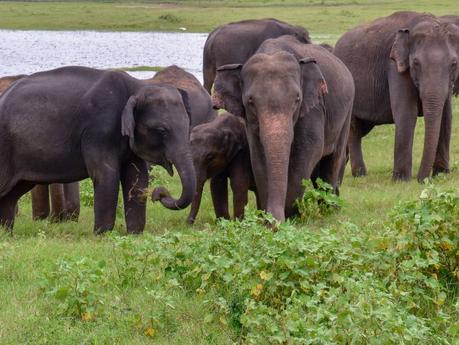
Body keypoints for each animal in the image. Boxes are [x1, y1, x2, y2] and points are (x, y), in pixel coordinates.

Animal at [213, 35, 356, 220]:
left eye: (297, 99)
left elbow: (308, 150)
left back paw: (330, 210)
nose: (274, 222)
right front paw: (267, 217)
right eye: (250, 101)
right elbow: (258, 156)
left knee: (333, 159)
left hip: (347, 111)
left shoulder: (313, 108)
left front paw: (289, 215)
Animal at [334, 11, 459, 180]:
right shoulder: (394, 66)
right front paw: (401, 180)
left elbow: (446, 116)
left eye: (454, 64)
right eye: (416, 63)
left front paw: (441, 175)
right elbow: (406, 112)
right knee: (353, 128)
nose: (421, 180)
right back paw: (360, 174)